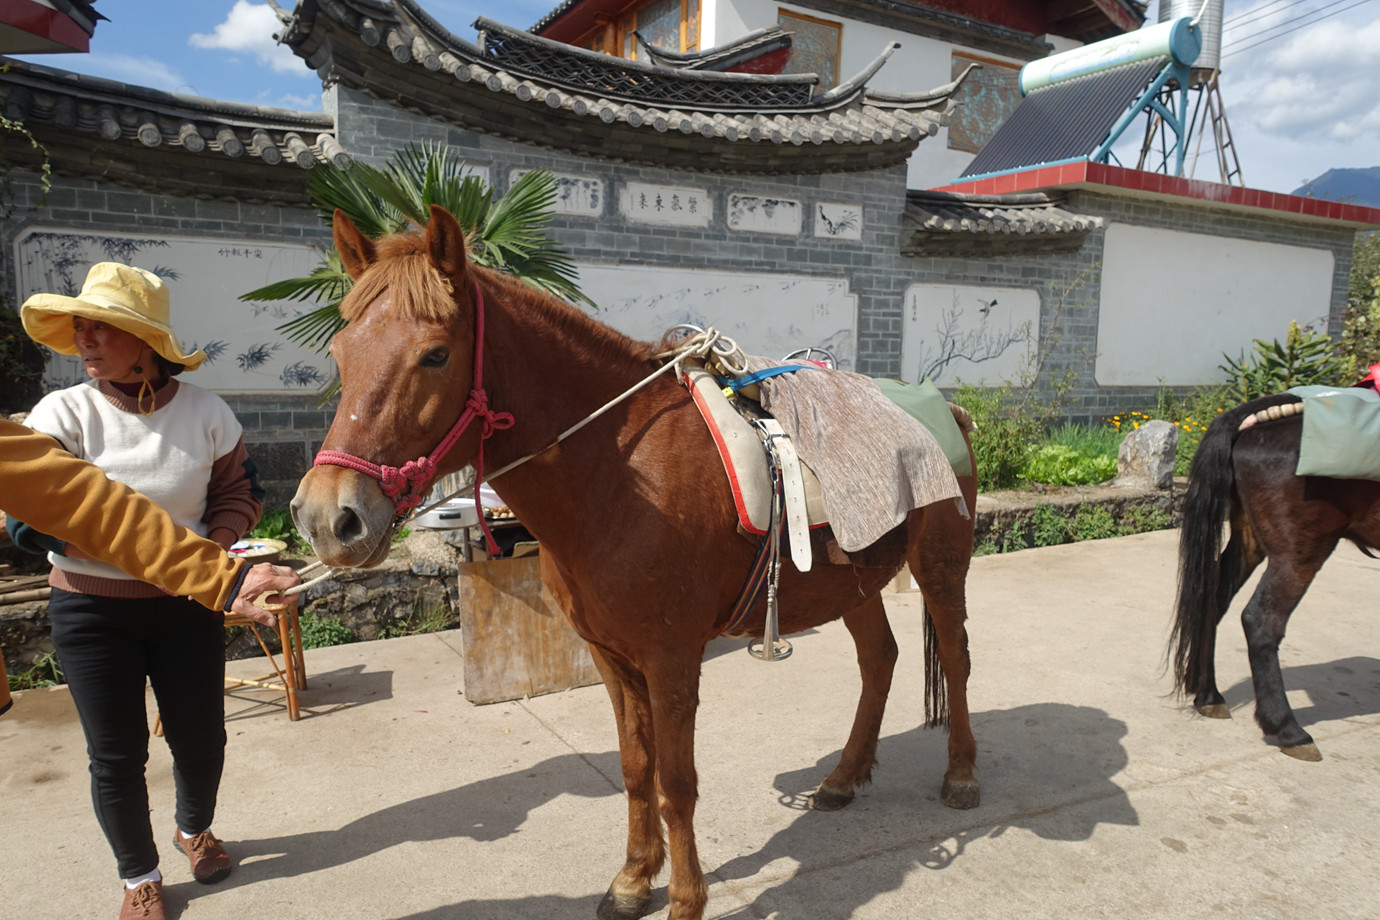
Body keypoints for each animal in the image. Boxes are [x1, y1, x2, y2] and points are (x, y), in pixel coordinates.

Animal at [291, 206, 982, 920]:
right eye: (340, 353)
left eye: (435, 354)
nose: (328, 517)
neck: (617, 473)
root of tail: (946, 408)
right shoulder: (611, 656)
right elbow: (634, 768)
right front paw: (632, 878)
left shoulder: (671, 659)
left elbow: (676, 782)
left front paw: (683, 898)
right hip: (853, 583)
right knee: (879, 660)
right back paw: (844, 777)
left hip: (939, 566)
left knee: (956, 658)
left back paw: (961, 774)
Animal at [1175, 391, 1380, 761]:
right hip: (1300, 548)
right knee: (1261, 619)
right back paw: (1287, 728)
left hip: (1250, 538)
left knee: (1213, 602)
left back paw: (1209, 695)